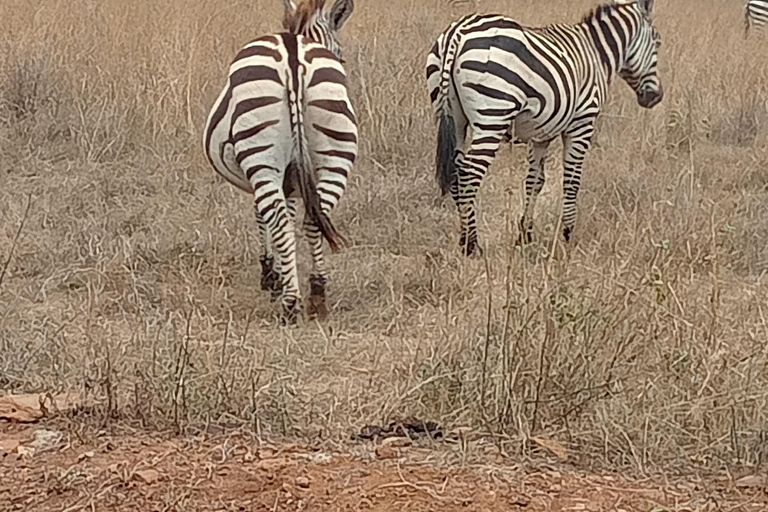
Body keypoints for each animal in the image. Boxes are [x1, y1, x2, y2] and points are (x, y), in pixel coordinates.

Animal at [206, 0, 358, 320]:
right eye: (340, 55)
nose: (342, 61)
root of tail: (293, 54)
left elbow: (262, 216)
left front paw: (271, 275)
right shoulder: (290, 179)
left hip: (260, 153)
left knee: (279, 221)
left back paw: (290, 303)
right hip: (337, 151)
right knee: (313, 219)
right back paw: (317, 294)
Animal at [428, 0, 664, 256]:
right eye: (657, 43)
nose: (656, 97)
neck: (596, 54)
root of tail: (458, 32)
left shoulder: (541, 133)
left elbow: (534, 181)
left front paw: (525, 236)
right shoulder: (582, 123)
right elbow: (572, 180)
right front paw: (567, 235)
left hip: (454, 118)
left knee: (456, 172)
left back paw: (464, 240)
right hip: (492, 117)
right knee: (469, 174)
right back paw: (472, 246)